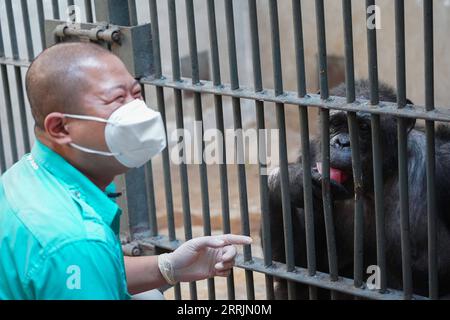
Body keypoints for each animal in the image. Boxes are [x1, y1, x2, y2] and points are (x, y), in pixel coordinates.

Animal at [268, 79, 450, 298]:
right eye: (335, 124)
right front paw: (291, 181)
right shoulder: (311, 155)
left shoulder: (443, 164)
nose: (342, 142)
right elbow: (301, 264)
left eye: (363, 127)